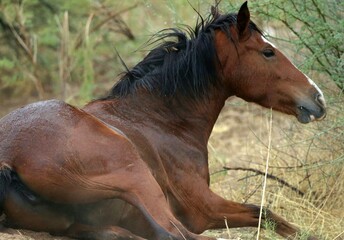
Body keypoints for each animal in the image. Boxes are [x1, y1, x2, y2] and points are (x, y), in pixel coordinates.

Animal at [0, 2, 326, 240]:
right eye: (268, 52)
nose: (318, 98)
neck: (158, 119)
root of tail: (9, 160)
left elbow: (269, 216)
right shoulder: (203, 208)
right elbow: (263, 212)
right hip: (136, 173)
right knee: (175, 234)